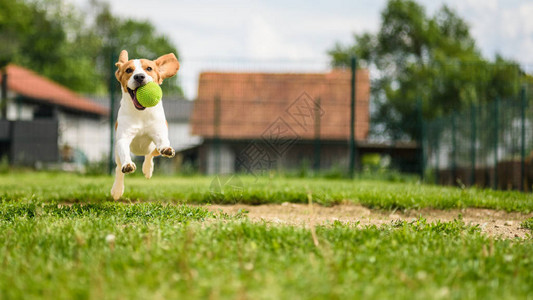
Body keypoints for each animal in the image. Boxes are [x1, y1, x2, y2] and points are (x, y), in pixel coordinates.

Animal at [111, 49, 180, 199]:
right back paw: (117, 189)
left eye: (149, 68)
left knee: (150, 155)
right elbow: (124, 153)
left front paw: (166, 149)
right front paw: (128, 165)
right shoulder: (123, 139)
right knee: (118, 168)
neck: (141, 113)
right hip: (116, 153)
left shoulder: (159, 133)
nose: (139, 76)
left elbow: (163, 142)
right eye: (128, 70)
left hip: (153, 148)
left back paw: (148, 169)